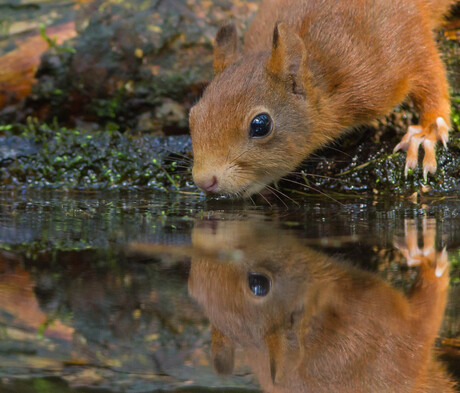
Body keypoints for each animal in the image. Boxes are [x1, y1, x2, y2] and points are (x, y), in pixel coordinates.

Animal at [189, 0, 454, 196]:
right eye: (192, 116)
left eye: (260, 125)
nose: (204, 181)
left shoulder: (394, 47)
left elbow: (428, 69)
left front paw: (426, 134)